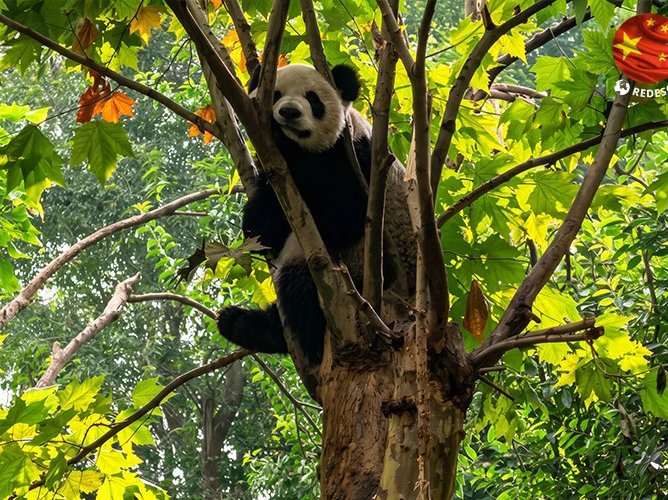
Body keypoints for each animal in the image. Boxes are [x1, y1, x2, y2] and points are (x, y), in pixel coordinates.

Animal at [216, 63, 414, 363]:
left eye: (313, 99)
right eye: (275, 95)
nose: (289, 112)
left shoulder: (358, 160)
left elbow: (346, 212)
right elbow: (262, 226)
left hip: (364, 270)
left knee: (299, 283)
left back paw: (302, 339)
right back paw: (238, 323)